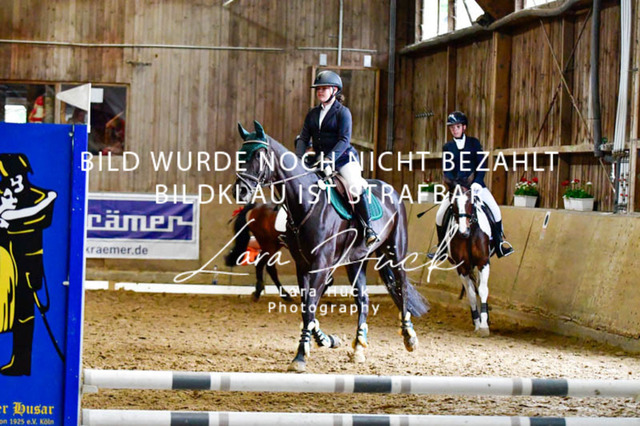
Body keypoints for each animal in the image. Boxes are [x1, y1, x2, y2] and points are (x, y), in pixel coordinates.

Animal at [234, 121, 429, 372]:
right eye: (240, 154)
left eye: (258, 155)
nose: (240, 191)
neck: (306, 202)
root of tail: (392, 189)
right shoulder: (303, 265)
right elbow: (307, 305)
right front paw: (321, 340)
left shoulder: (321, 264)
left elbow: (311, 304)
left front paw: (301, 355)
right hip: (355, 261)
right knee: (363, 300)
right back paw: (358, 348)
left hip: (396, 250)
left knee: (402, 284)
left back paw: (409, 336)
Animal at [441, 176, 492, 336]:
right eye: (453, 203)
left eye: (470, 201)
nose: (463, 232)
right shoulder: (462, 266)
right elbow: (471, 294)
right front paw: (477, 323)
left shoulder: (483, 262)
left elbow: (483, 289)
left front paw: (484, 325)